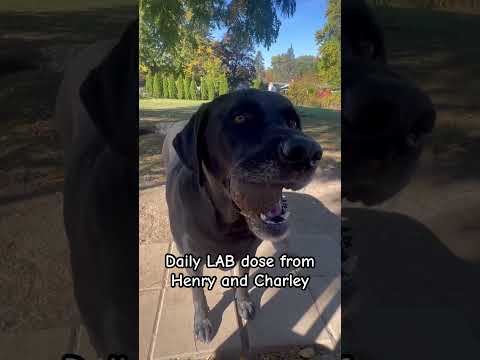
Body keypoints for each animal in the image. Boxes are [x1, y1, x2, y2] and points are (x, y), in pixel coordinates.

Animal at [163, 90, 324, 344]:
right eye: (240, 118)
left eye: (292, 123)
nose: (308, 152)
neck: (227, 222)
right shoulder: (191, 258)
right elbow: (198, 293)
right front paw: (202, 322)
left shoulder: (248, 252)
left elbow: (242, 278)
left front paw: (244, 303)